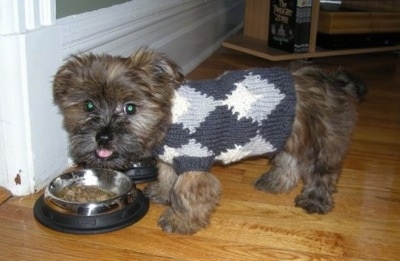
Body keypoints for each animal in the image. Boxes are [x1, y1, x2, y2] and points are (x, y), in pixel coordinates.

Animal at [54, 47, 368, 234]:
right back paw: (276, 182)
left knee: (322, 170)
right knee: (289, 160)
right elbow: (168, 177)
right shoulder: (171, 157)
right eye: (88, 106)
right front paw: (163, 193)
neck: (169, 118)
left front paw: (180, 219)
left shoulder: (194, 161)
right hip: (287, 132)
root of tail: (332, 80)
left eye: (130, 108)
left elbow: (187, 192)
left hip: (322, 138)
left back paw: (315, 198)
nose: (103, 136)